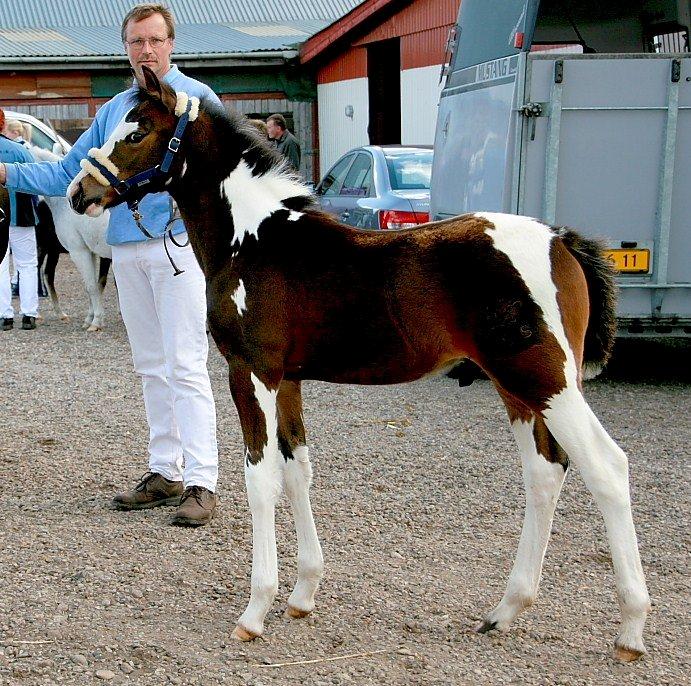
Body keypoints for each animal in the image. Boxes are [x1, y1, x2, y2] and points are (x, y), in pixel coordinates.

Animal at [67, 68, 652, 660]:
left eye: (136, 132)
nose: (78, 192)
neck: (251, 238)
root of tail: (561, 242)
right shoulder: (289, 381)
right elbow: (297, 471)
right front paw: (302, 595)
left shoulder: (251, 372)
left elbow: (261, 479)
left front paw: (255, 610)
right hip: (516, 387)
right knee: (544, 473)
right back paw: (505, 610)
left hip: (548, 379)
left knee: (606, 467)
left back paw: (630, 628)